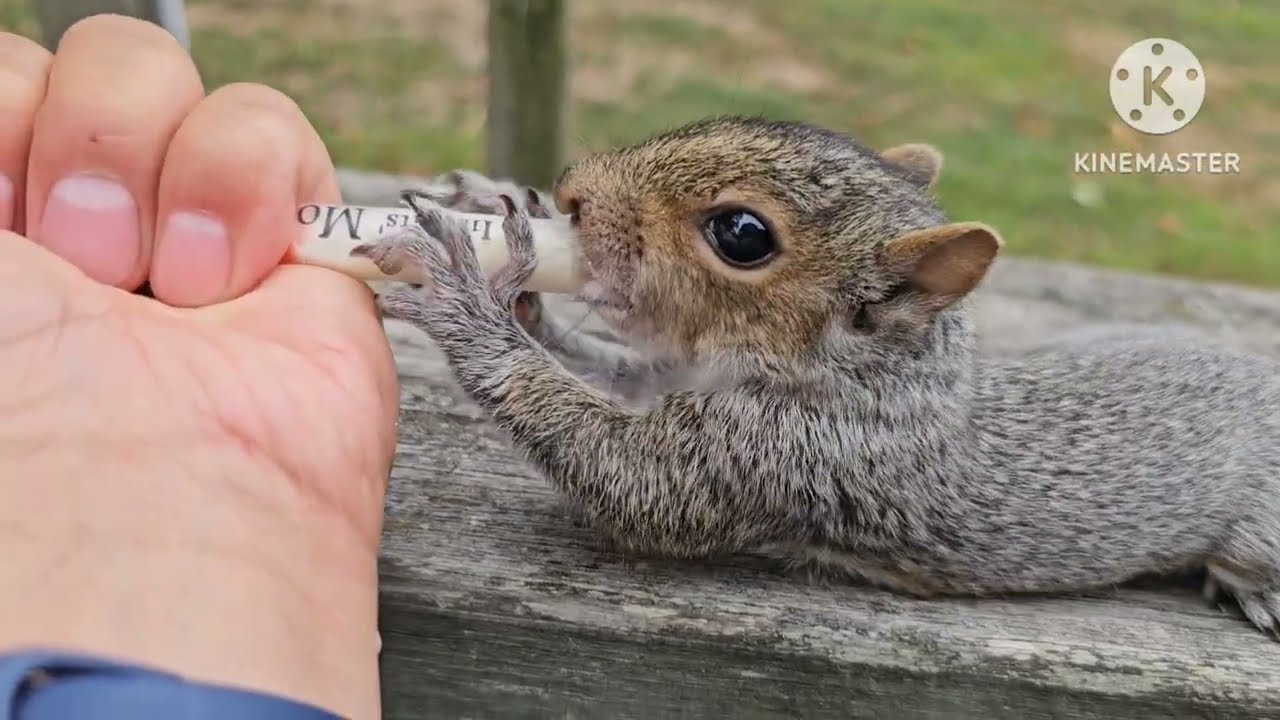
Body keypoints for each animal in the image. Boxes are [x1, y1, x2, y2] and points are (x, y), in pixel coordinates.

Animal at [352, 116, 1280, 639]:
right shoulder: (680, 379)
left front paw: (465, 296)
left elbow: (629, 477)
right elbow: (613, 373)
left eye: (742, 235)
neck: (880, 378)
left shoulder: (785, 454)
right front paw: (506, 245)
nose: (572, 192)